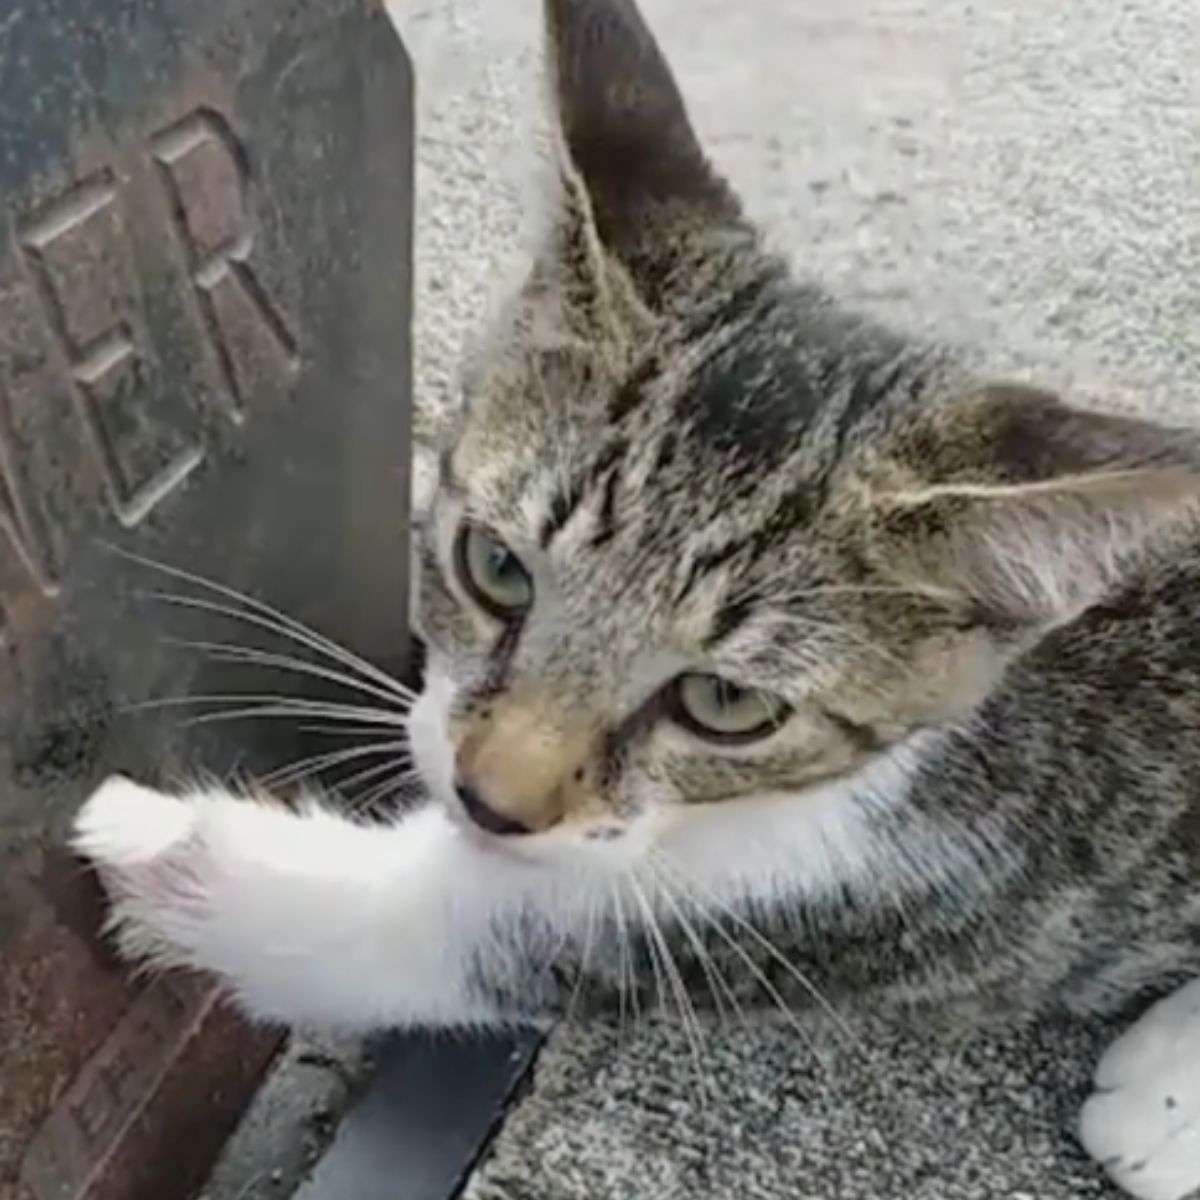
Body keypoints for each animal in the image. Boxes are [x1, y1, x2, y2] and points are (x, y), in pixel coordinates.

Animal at [72, 2, 1200, 1200]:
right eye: (496, 566)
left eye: (728, 704)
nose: (491, 797)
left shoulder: (875, 900)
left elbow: (463, 932)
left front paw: (166, 849)